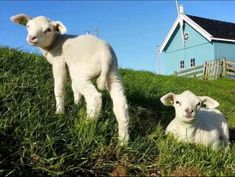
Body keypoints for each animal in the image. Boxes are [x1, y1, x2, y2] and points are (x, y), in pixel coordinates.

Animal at [10, 13, 129, 144]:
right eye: (28, 26)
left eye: (48, 30)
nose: (32, 38)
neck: (55, 42)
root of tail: (106, 55)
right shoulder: (70, 68)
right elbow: (74, 88)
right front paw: (77, 103)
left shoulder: (59, 64)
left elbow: (59, 89)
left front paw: (59, 112)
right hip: (113, 74)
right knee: (121, 104)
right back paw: (123, 141)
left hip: (82, 73)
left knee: (95, 98)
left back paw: (86, 128)